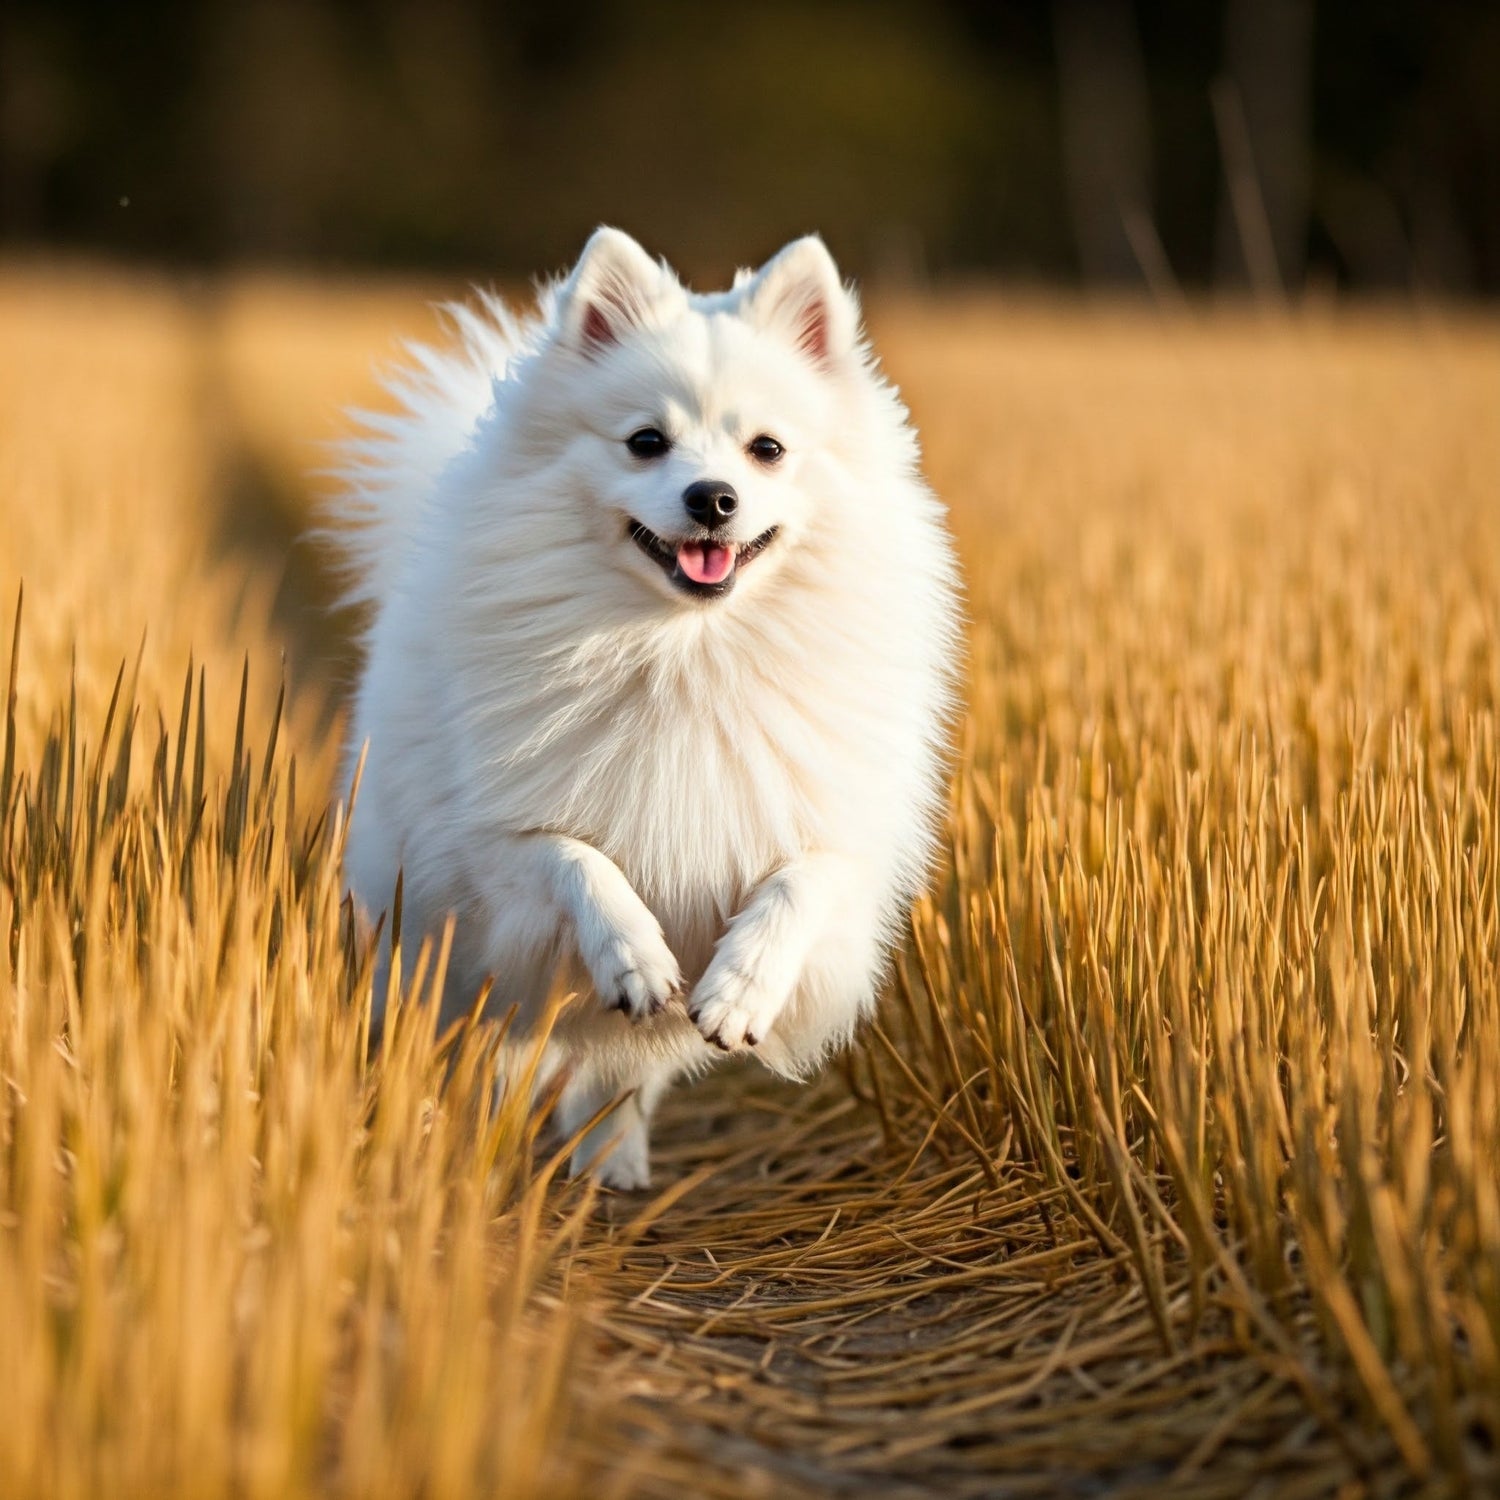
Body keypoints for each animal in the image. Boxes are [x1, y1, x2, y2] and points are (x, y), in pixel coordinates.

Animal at [334, 228, 960, 1188]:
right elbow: (581, 861)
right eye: (646, 442)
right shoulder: (496, 850)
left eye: (767, 449)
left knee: (619, 1074)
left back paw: (612, 1159)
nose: (713, 498)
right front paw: (635, 957)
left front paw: (739, 990)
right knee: (467, 1033)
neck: (687, 649)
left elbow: (797, 885)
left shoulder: (832, 834)